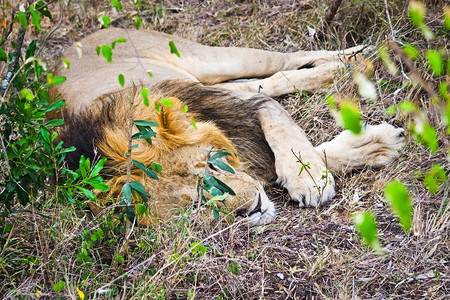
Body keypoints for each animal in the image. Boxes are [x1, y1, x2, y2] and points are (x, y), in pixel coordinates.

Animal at [51, 28, 404, 225]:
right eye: (194, 205)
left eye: (211, 163)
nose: (254, 208)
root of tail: (79, 40)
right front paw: (374, 145)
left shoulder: (234, 105)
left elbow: (277, 118)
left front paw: (310, 177)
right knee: (273, 79)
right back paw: (343, 70)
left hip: (212, 61)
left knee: (286, 62)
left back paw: (355, 59)